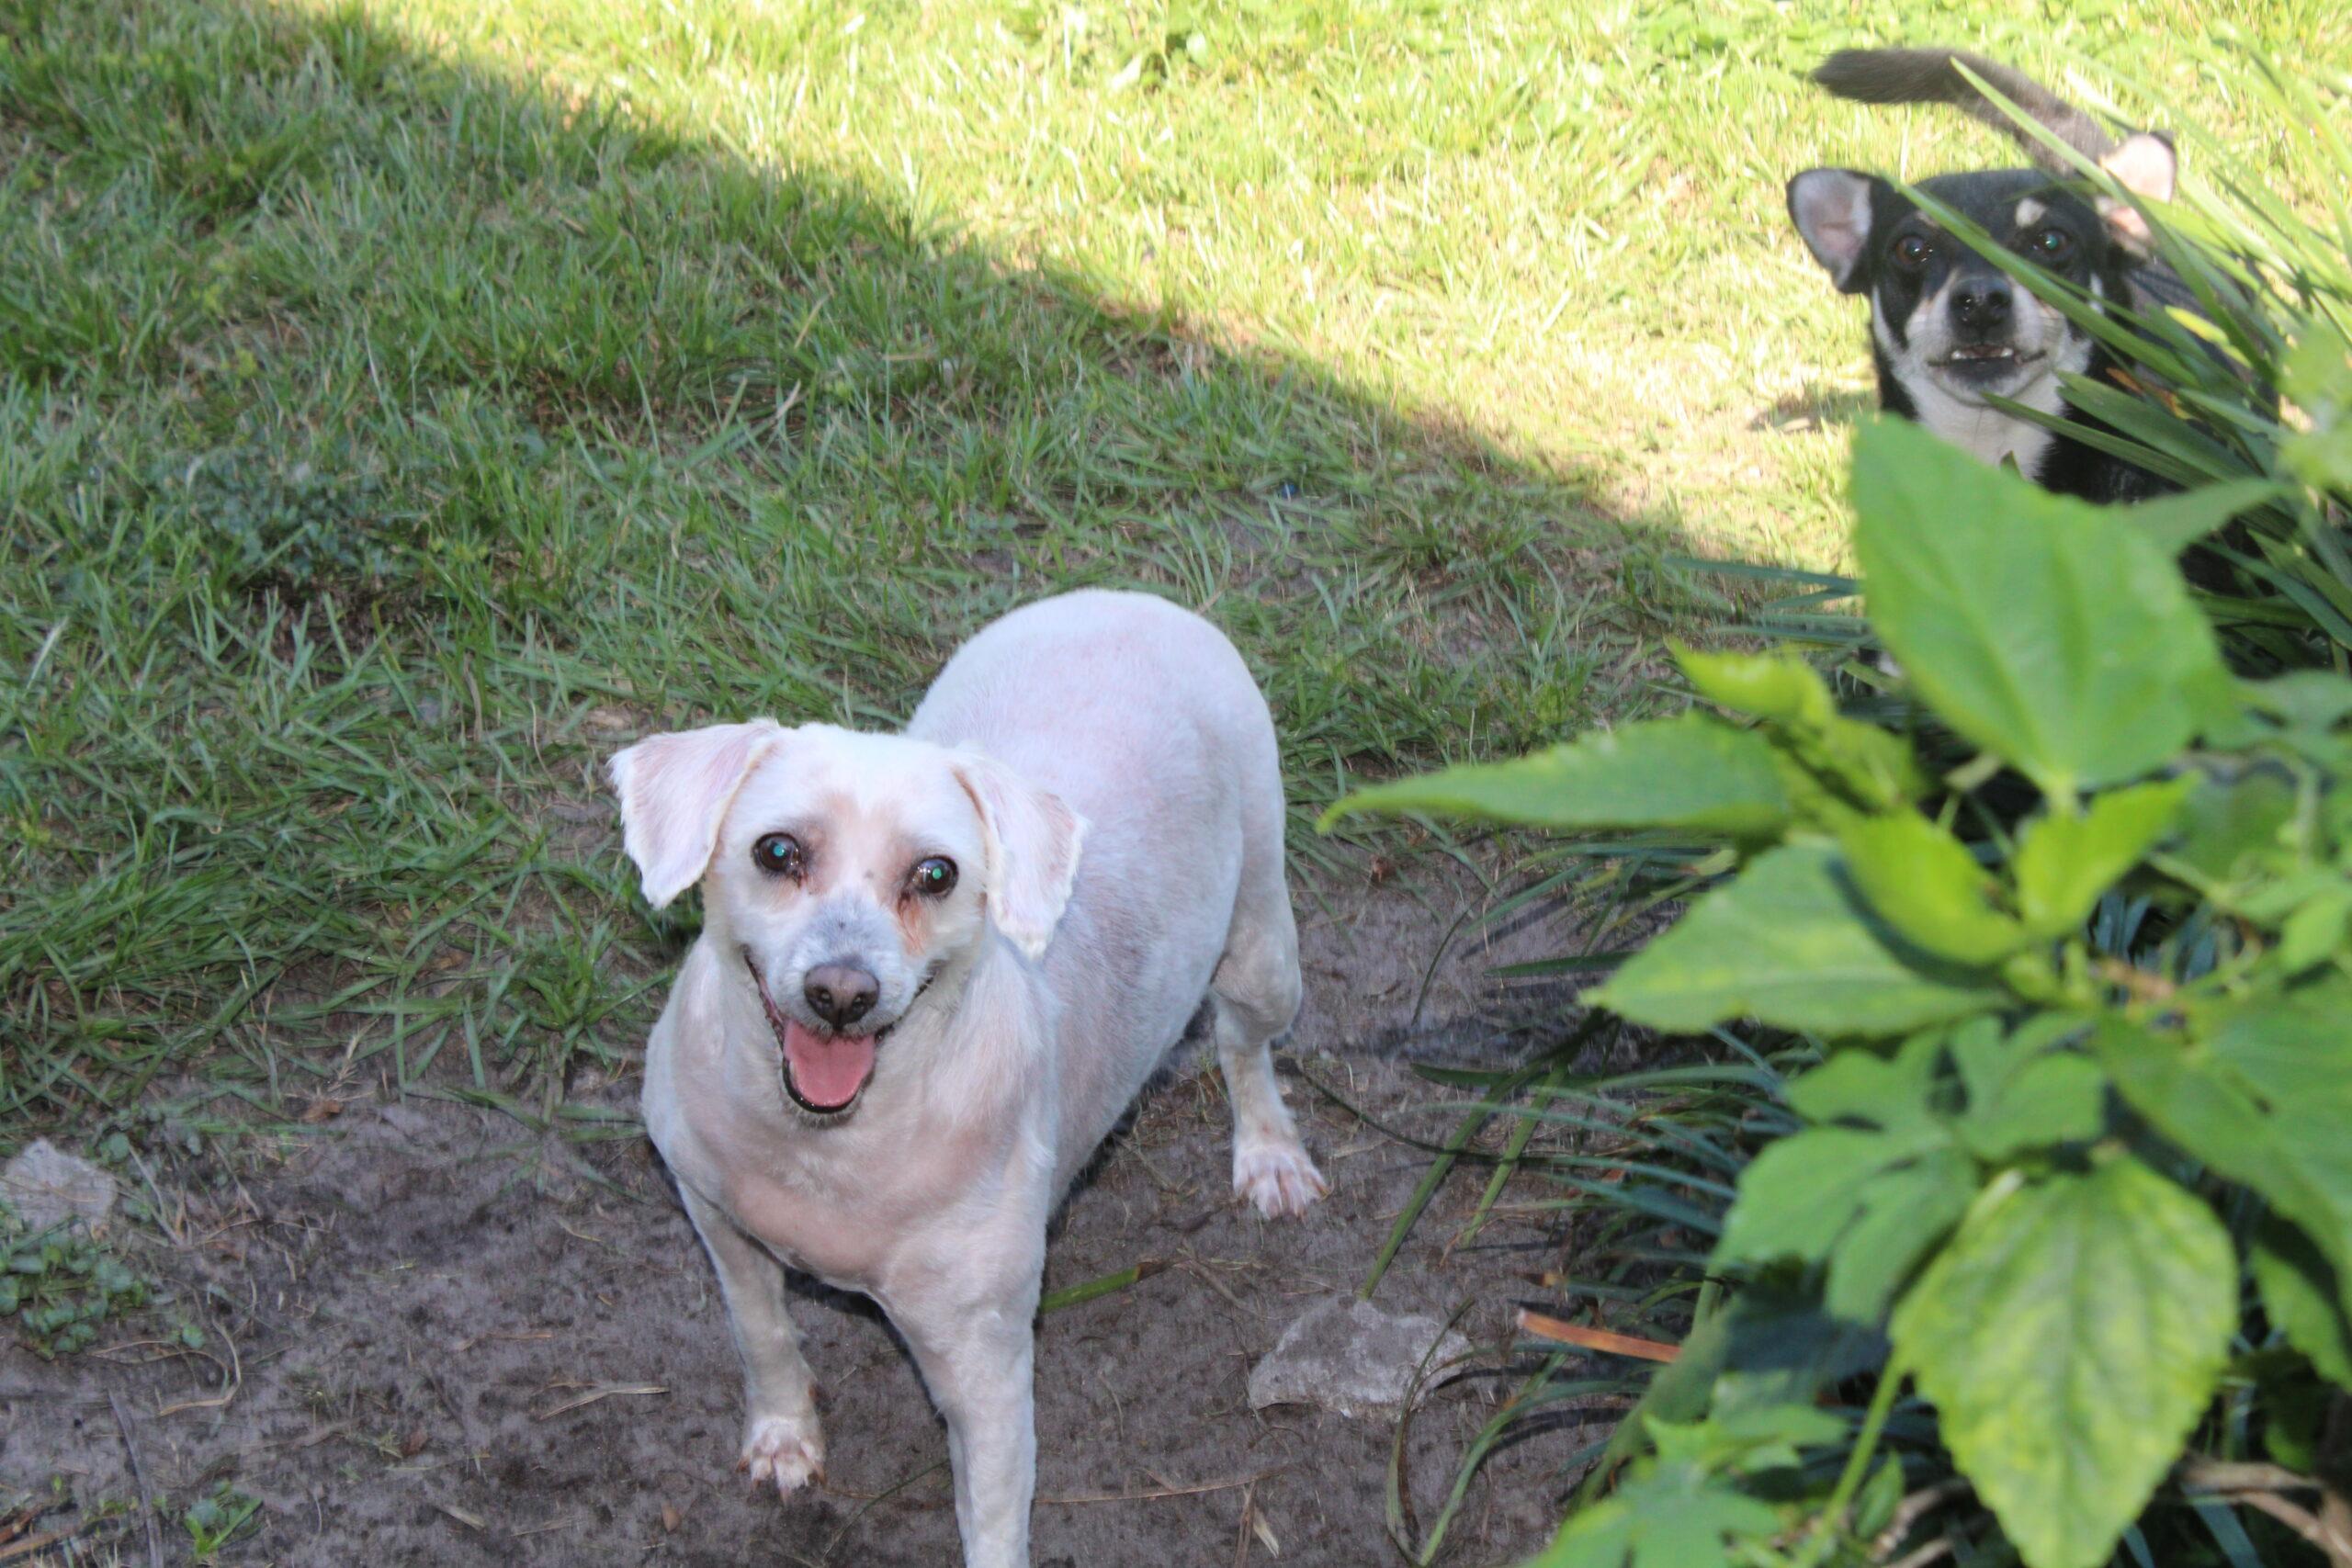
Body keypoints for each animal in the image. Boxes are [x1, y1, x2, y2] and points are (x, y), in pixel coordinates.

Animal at [611, 587, 1326, 1568]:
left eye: (937, 873)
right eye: (777, 852)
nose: (842, 992)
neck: (826, 1148)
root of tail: (1129, 595)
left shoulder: (985, 1367)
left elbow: (990, 1519)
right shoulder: (716, 1216)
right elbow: (761, 1334)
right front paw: (785, 1434)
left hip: (1263, 952)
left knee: (1244, 1045)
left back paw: (1270, 1155)